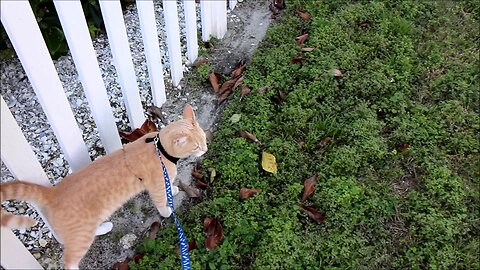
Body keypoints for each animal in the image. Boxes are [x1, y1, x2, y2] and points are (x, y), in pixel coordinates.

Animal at [0, 104, 206, 268]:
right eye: (195, 146)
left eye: (203, 138)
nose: (205, 149)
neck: (159, 148)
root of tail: (52, 192)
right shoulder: (156, 186)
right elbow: (162, 200)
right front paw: (167, 210)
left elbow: (169, 187)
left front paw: (174, 189)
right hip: (80, 236)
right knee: (70, 262)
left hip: (81, 229)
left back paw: (103, 227)